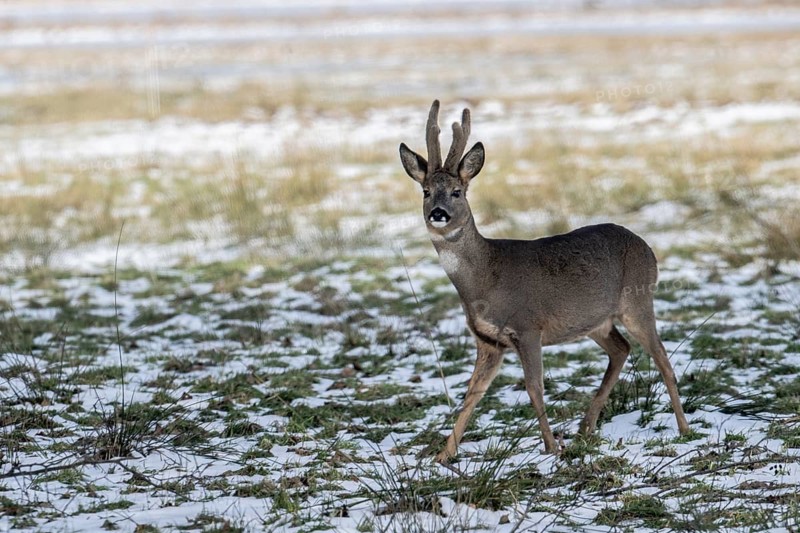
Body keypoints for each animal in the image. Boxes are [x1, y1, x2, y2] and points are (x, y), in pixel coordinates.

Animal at [399, 100, 690, 463]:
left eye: (457, 191)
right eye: (426, 191)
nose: (438, 213)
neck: (485, 280)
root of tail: (647, 247)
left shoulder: (528, 326)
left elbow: (533, 386)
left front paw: (551, 447)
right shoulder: (488, 340)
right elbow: (472, 393)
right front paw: (442, 456)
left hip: (637, 301)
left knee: (662, 357)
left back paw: (684, 429)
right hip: (596, 321)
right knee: (621, 349)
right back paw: (585, 428)